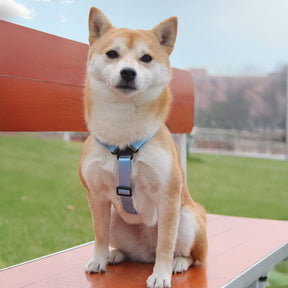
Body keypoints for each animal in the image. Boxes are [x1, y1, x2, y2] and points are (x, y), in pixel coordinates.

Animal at [79, 7, 207, 288]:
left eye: (146, 58)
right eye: (112, 54)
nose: (128, 72)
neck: (123, 143)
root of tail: (146, 253)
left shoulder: (168, 198)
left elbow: (166, 244)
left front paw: (161, 274)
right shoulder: (96, 196)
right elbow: (99, 235)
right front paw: (99, 259)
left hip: (188, 218)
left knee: (189, 255)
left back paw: (178, 263)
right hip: (116, 218)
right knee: (124, 247)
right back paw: (115, 255)